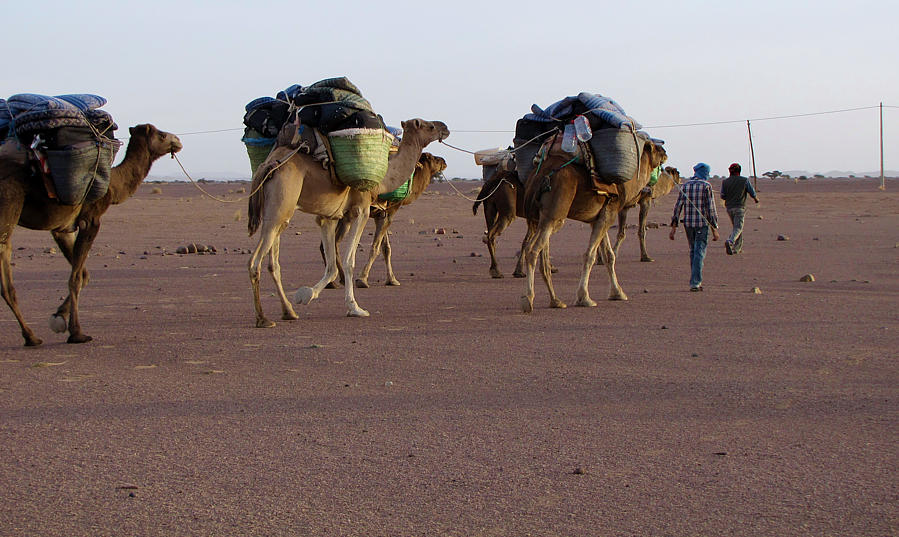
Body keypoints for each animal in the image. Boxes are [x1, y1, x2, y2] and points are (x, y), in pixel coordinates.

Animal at [0, 124, 183, 346]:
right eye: (162, 135)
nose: (178, 141)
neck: (113, 184)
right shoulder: (91, 220)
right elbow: (75, 278)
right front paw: (77, 333)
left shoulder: (62, 228)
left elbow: (84, 275)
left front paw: (58, 317)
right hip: (8, 206)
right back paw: (32, 336)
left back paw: (31, 336)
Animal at [248, 118, 448, 326]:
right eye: (430, 126)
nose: (445, 128)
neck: (383, 181)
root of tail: (268, 164)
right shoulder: (362, 211)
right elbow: (350, 260)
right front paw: (355, 307)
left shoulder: (329, 218)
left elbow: (331, 266)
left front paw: (307, 294)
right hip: (280, 206)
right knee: (255, 262)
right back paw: (263, 318)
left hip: (279, 213)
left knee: (274, 264)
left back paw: (289, 312)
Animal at [520, 135, 668, 314]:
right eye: (653, 146)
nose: (664, 152)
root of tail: (538, 176)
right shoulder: (610, 212)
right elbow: (589, 255)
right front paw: (584, 298)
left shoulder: (599, 217)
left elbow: (609, 256)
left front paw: (618, 293)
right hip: (554, 215)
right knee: (532, 249)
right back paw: (528, 300)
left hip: (540, 217)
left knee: (539, 253)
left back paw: (555, 301)